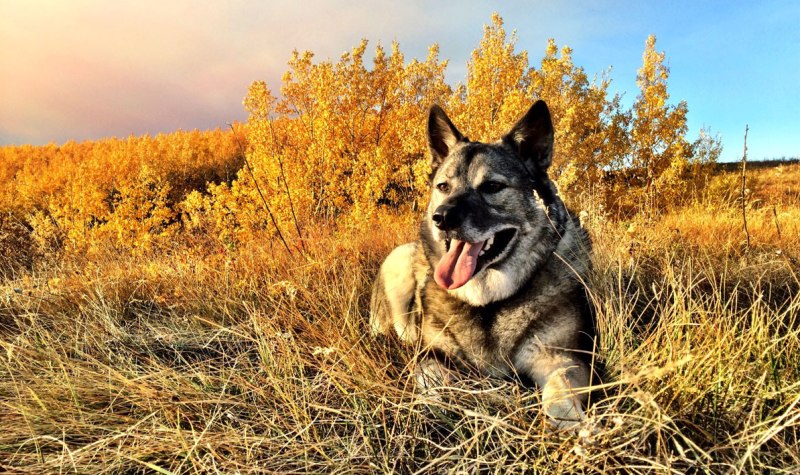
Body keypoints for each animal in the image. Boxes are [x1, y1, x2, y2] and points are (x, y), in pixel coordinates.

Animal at [372, 99, 596, 428]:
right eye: (443, 187)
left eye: (491, 186)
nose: (442, 218)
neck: (488, 304)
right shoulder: (432, 354)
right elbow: (432, 380)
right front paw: (432, 408)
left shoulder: (563, 358)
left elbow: (559, 395)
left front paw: (572, 426)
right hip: (398, 262)